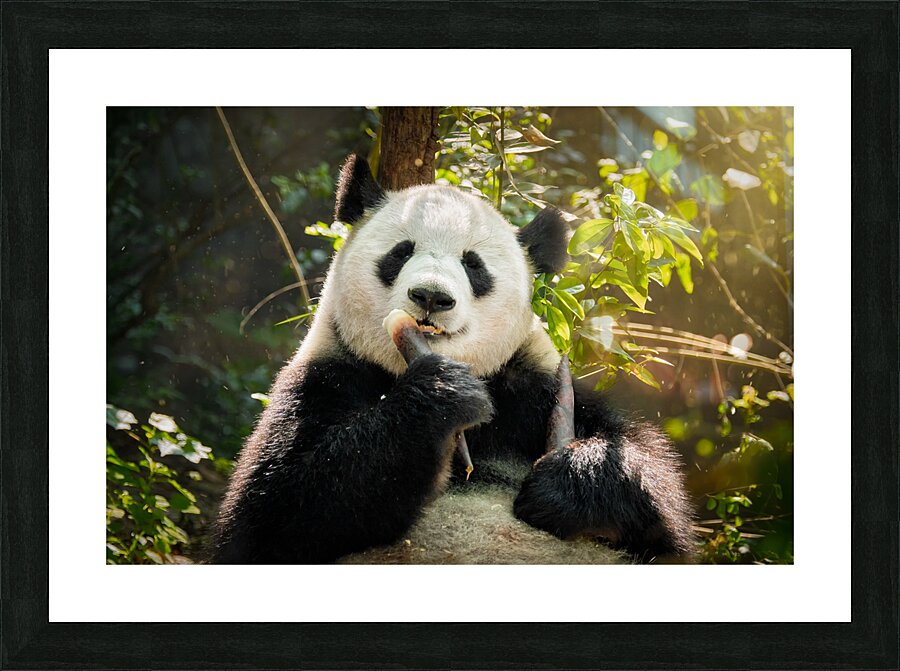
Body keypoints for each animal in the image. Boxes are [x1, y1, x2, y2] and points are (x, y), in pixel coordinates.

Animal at [210, 154, 695, 565]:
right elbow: (274, 513)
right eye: (401, 251)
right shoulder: (326, 376)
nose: (431, 296)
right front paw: (442, 393)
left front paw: (568, 481)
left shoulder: (535, 386)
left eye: (473, 265)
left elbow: (654, 494)